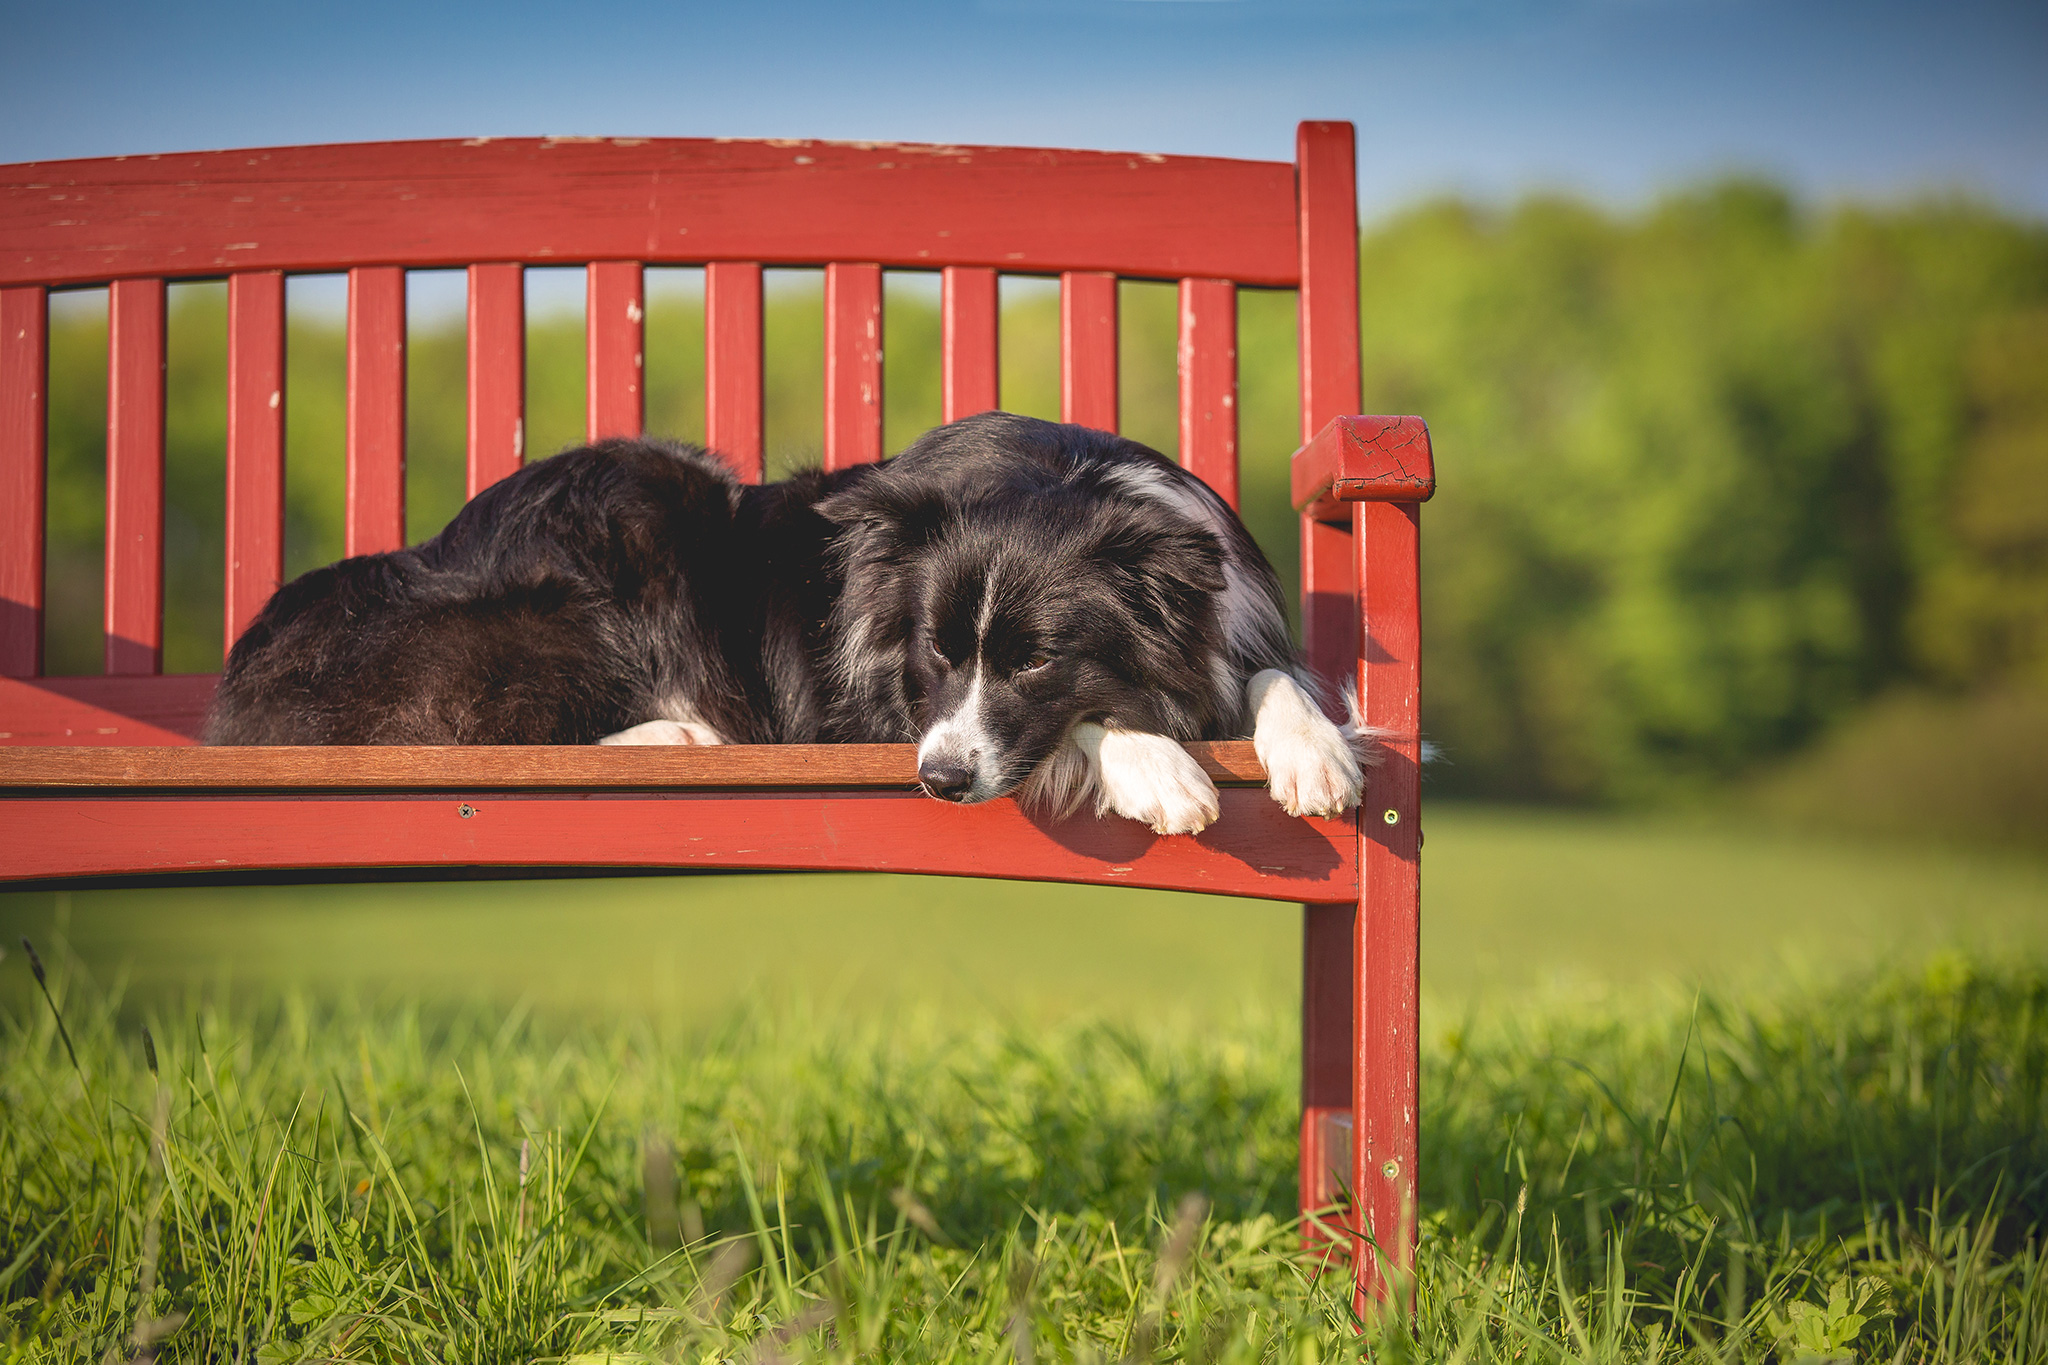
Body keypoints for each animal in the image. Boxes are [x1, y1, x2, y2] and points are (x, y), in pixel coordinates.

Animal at [207, 409, 1368, 834]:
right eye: (934, 650)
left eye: (1036, 657)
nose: (937, 783)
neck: (1057, 475)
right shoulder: (880, 711)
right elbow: (1089, 725)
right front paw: (1157, 766)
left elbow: (1274, 674)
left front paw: (1312, 752)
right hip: (634, 497)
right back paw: (675, 733)